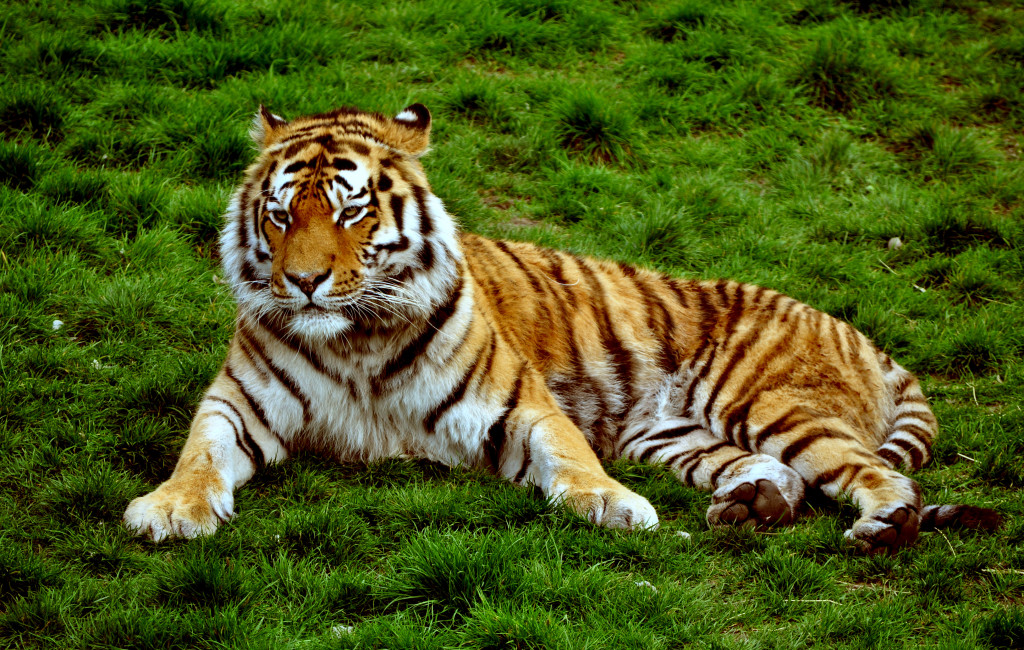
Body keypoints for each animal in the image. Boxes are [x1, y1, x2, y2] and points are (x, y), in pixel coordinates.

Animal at [121, 102, 999, 552]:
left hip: (771, 401)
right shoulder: (236, 403)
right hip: (681, 437)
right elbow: (199, 456)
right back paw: (752, 508)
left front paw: (614, 506)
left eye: (349, 211)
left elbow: (571, 457)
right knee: (780, 476)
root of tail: (862, 335)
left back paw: (882, 524)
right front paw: (168, 509)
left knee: (877, 476)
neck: (357, 337)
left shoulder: (520, 405)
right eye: (279, 215)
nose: (302, 282)